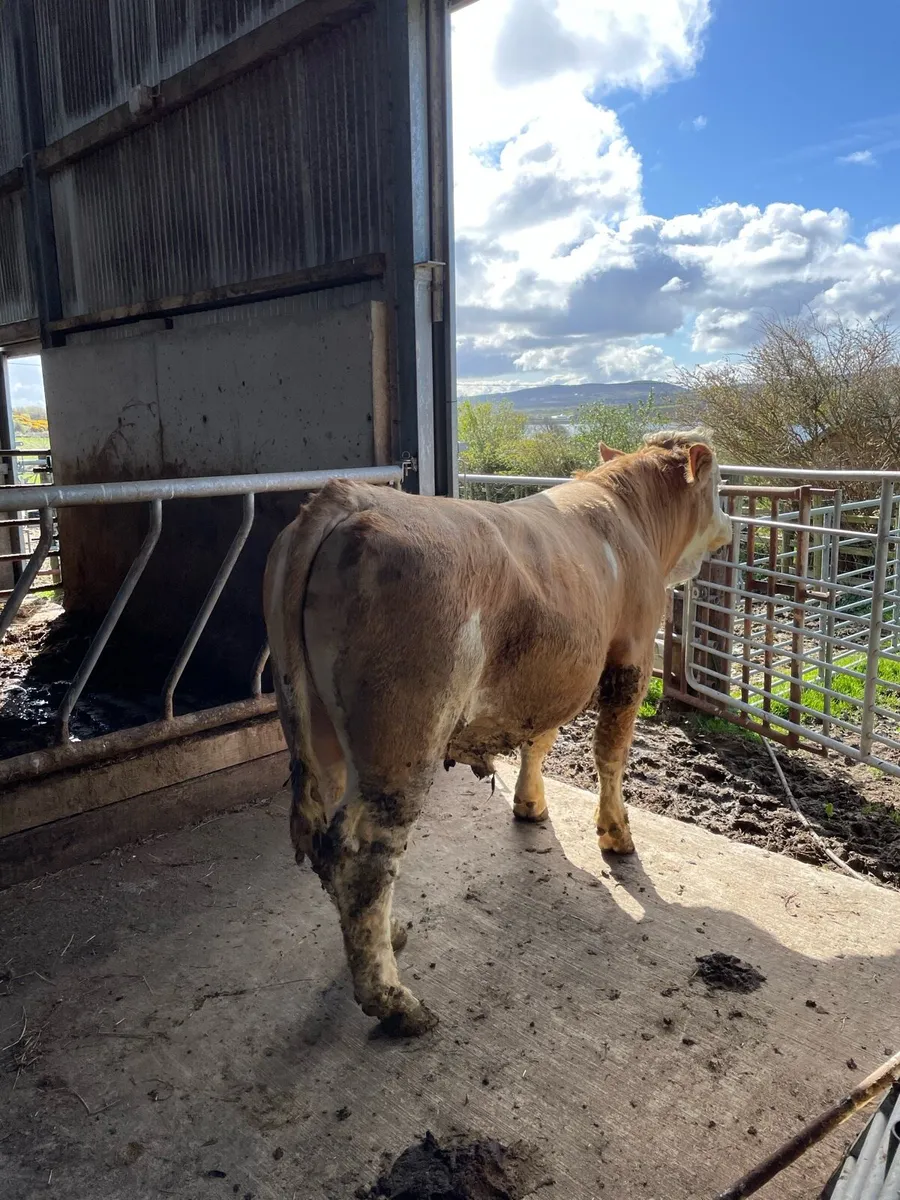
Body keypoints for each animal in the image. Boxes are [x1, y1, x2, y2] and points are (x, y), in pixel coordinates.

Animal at [263, 430, 732, 1036]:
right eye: (720, 484)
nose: (729, 525)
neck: (630, 520)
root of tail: (345, 497)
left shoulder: (548, 677)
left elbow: (540, 739)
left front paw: (529, 805)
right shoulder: (629, 659)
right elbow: (610, 753)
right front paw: (616, 835)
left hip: (318, 728)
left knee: (330, 847)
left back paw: (391, 934)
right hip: (403, 738)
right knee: (362, 857)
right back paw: (396, 1003)